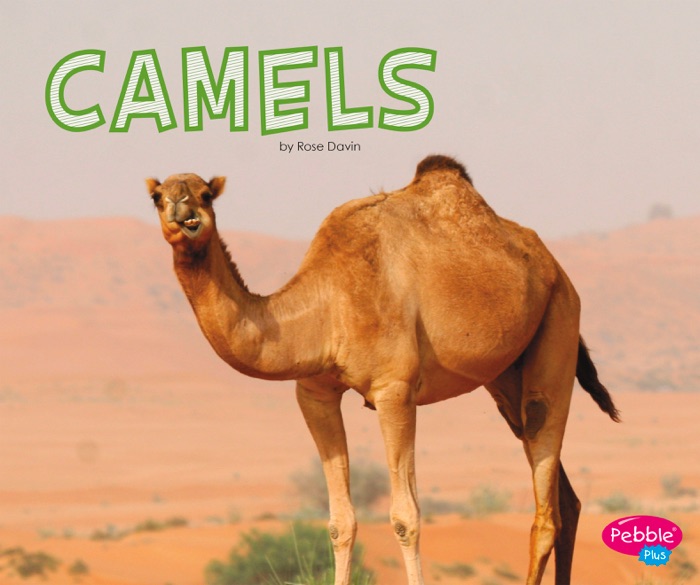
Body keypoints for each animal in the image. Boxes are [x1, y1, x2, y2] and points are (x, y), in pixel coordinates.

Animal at [147, 154, 619, 585]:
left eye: (206, 194)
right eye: (157, 196)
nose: (183, 213)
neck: (328, 304)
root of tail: (554, 266)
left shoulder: (395, 389)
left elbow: (405, 517)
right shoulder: (314, 392)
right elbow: (340, 521)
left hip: (559, 320)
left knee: (545, 490)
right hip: (505, 376)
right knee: (564, 496)